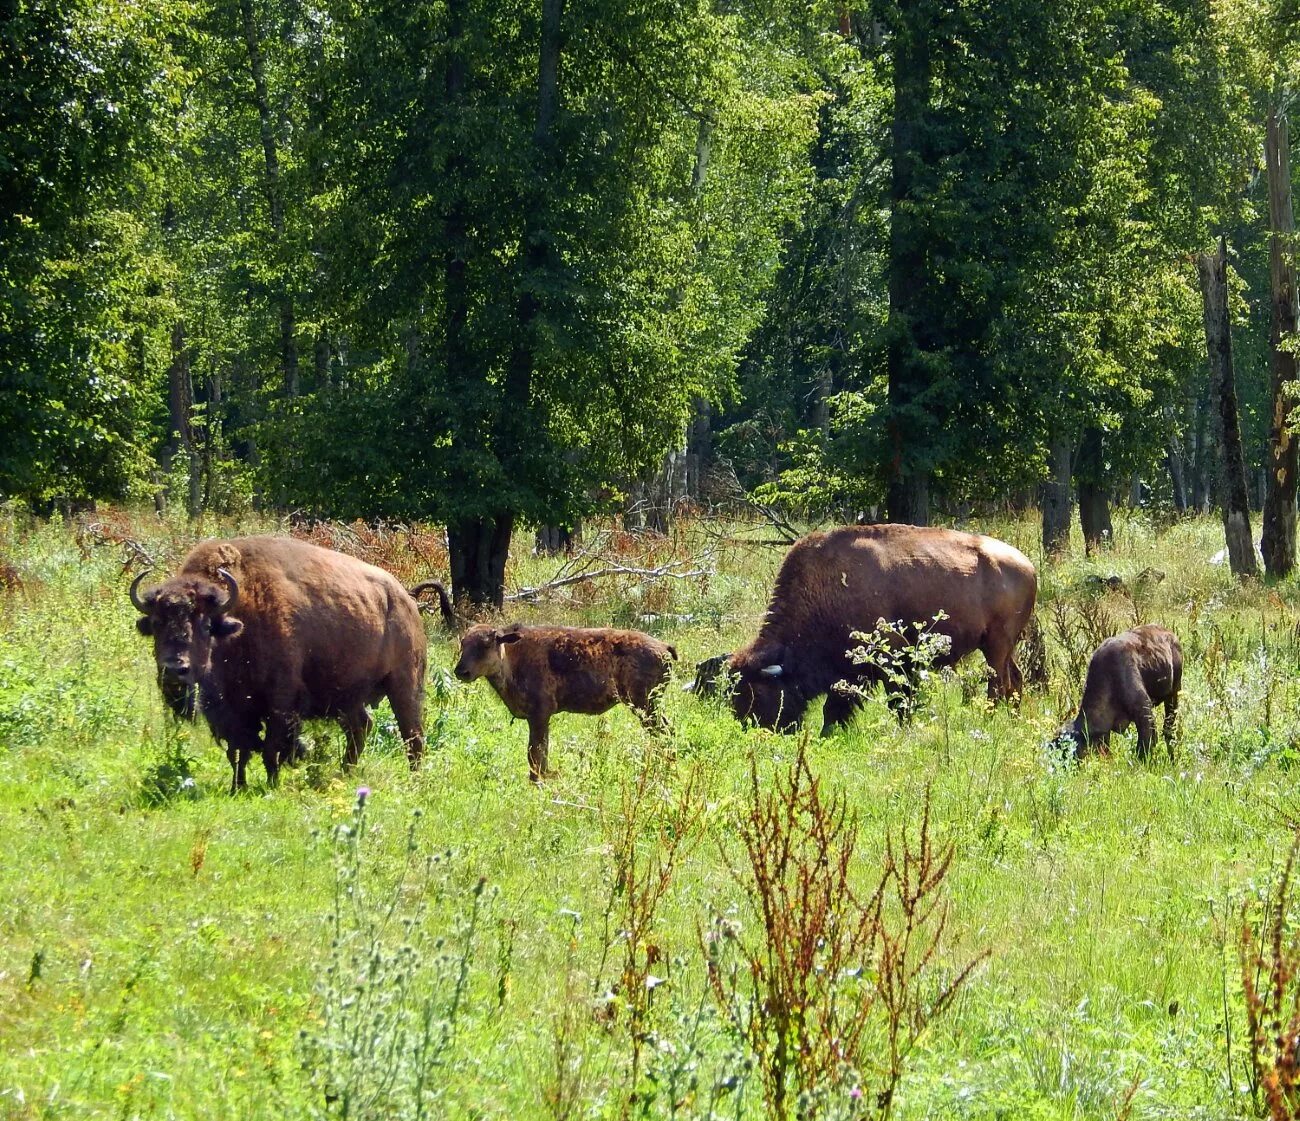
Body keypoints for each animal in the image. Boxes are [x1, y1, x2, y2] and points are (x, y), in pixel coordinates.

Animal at [130, 538, 428, 795]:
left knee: (412, 735)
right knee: (361, 727)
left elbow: (271, 749)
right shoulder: (233, 710)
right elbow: (237, 750)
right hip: (348, 695)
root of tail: (405, 600)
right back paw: (345, 773)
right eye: (156, 624)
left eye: (204, 625)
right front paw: (237, 786)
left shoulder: (281, 702)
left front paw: (272, 785)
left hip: (404, 684)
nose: (174, 670)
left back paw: (414, 779)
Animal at [454, 626, 681, 785]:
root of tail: (665, 647)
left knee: (665, 732)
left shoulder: (539, 715)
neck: (511, 657)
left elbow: (535, 754)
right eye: (463, 644)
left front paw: (537, 782)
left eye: (486, 644)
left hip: (644, 705)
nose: (461, 671)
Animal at [733, 525, 1034, 738]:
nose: (754, 730)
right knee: (1015, 679)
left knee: (998, 684)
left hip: (996, 645)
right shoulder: (846, 671)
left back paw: (988, 719)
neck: (825, 588)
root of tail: (1027, 565)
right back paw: (1014, 720)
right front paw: (827, 734)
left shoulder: (891, 659)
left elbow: (895, 699)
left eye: (758, 692)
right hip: (1004, 647)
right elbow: (835, 706)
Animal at [1055, 624, 1180, 764]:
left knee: (1168, 729)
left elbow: (1144, 745)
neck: (1110, 677)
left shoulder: (1144, 713)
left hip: (1173, 695)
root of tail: (1171, 635)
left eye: (1069, 747)